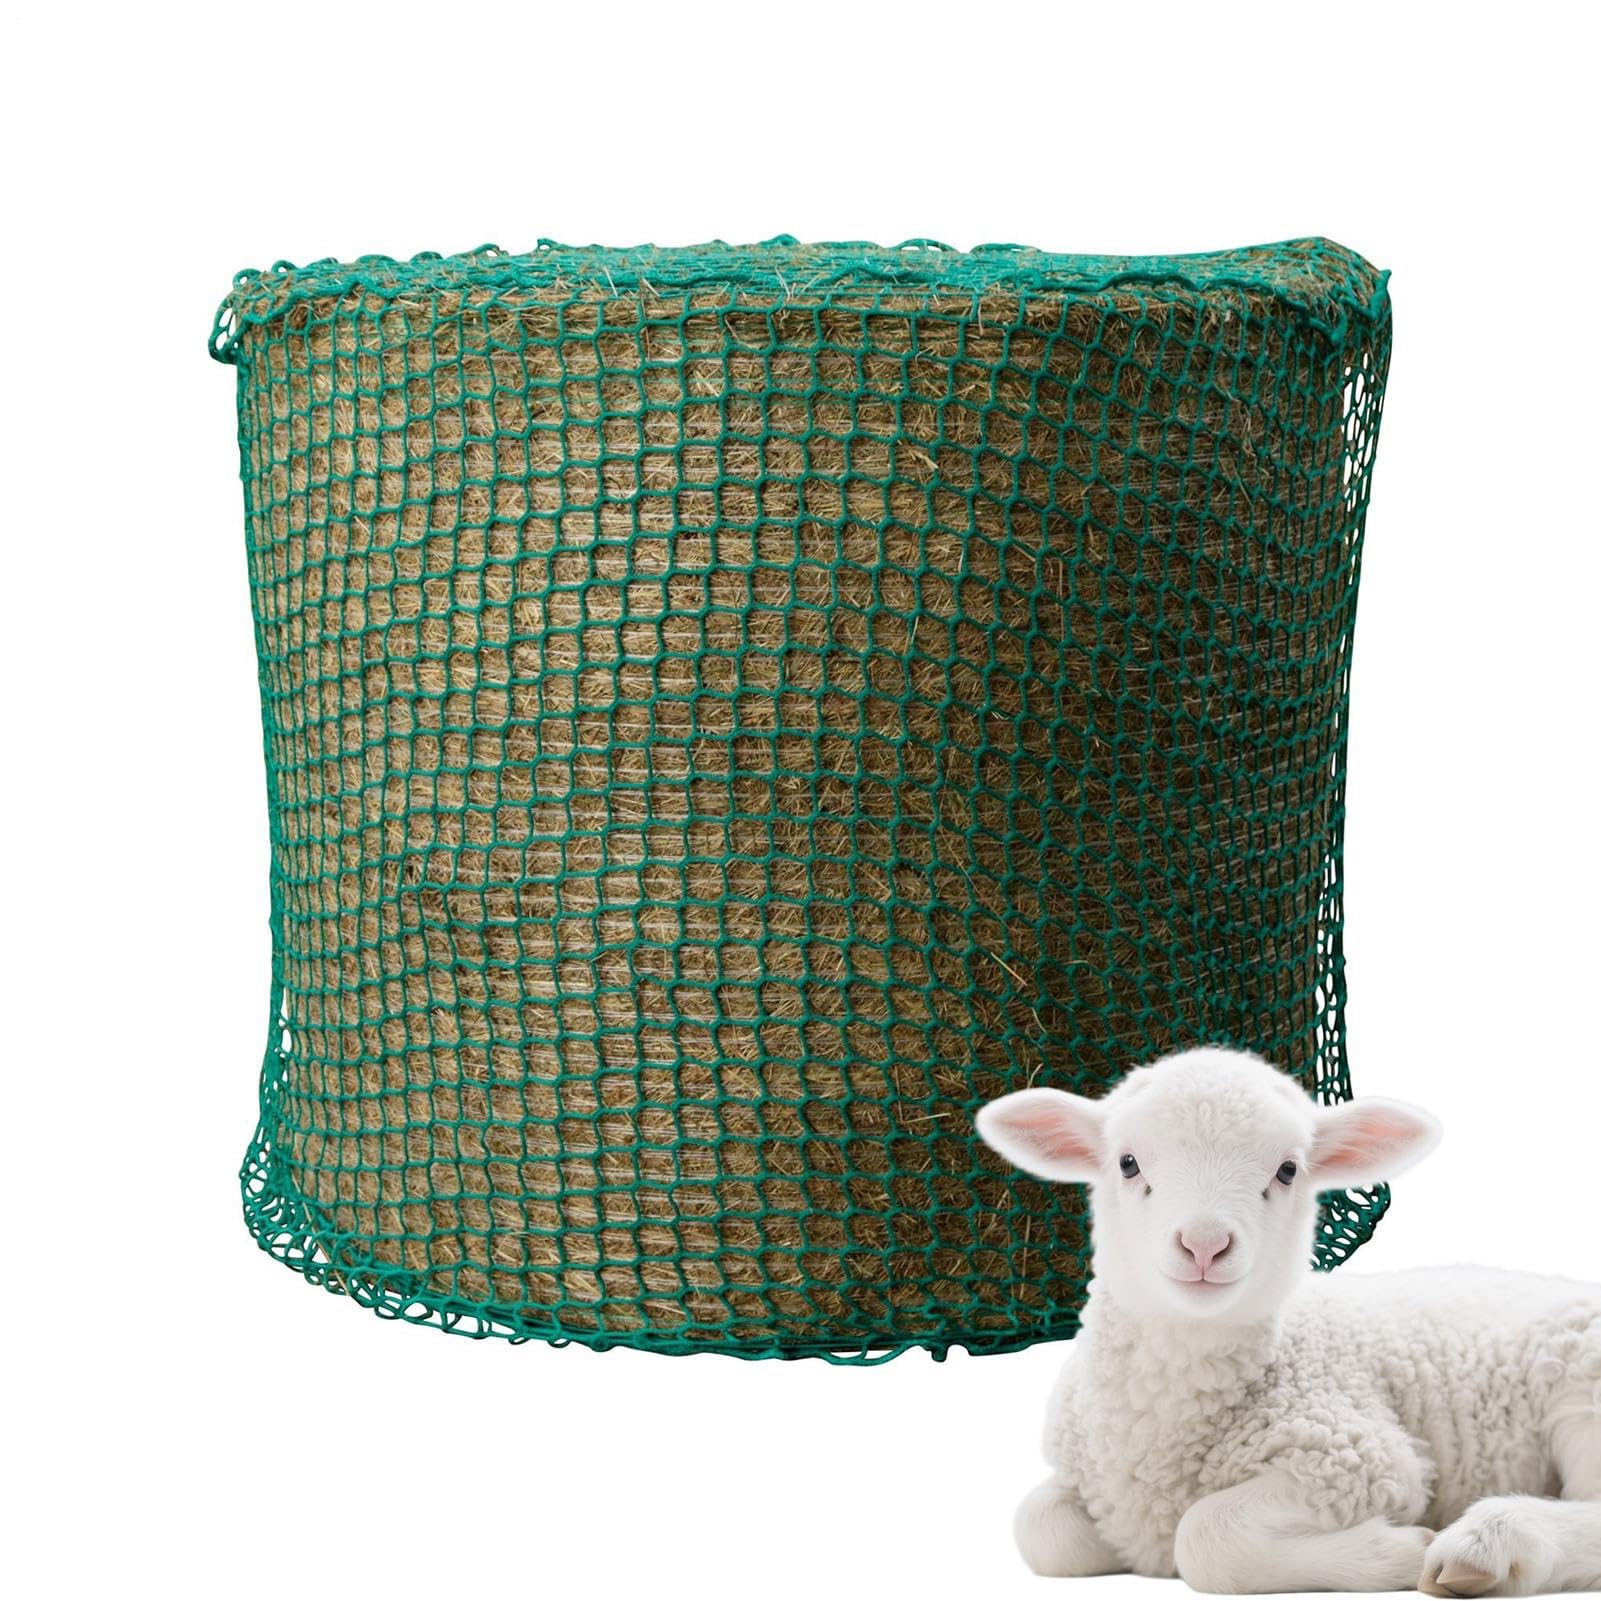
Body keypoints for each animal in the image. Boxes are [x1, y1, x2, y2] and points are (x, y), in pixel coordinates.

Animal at [976, 1047, 1600, 1594]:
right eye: (1127, 1163)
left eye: (1287, 1170)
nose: (1205, 1244)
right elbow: (1040, 1527)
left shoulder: (1361, 1460)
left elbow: (1203, 1535)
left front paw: (1403, 1547)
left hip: (1581, 1389)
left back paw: (1487, 1545)